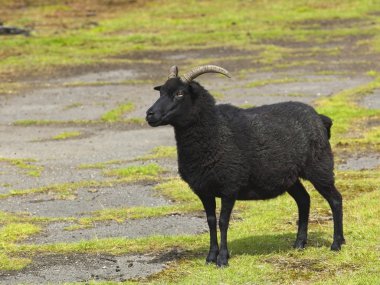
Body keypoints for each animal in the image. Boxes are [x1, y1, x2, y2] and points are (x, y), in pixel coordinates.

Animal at [145, 65, 344, 266]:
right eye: (161, 92)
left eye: (180, 93)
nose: (149, 114)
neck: (215, 130)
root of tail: (319, 117)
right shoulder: (204, 190)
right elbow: (210, 221)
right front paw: (211, 257)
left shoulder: (229, 187)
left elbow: (223, 222)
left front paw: (223, 259)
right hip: (290, 176)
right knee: (304, 200)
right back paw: (299, 243)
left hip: (320, 166)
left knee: (335, 199)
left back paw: (337, 243)